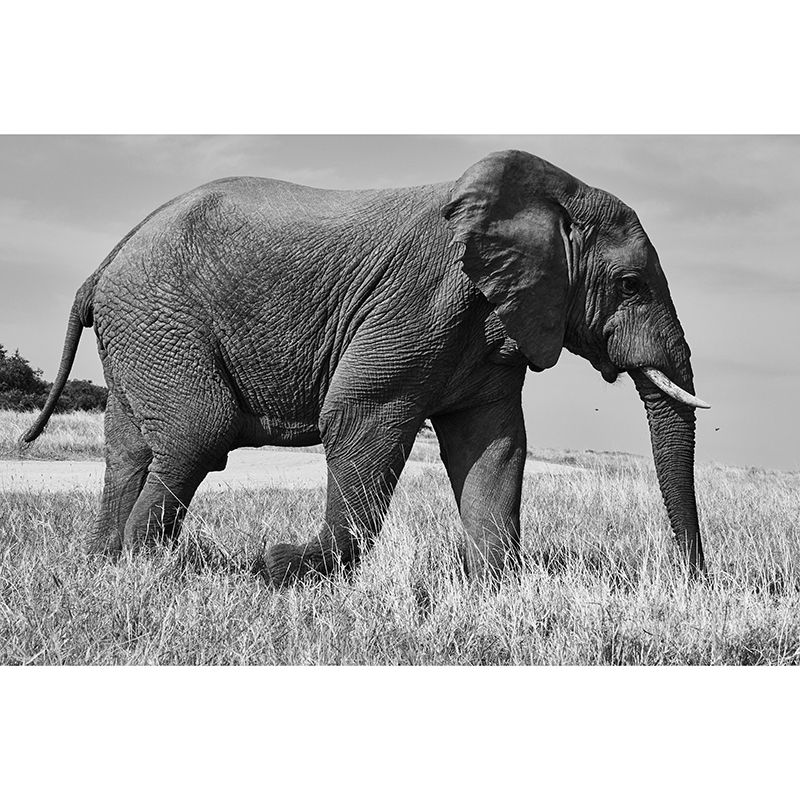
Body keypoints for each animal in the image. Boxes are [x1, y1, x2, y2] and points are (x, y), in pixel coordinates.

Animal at [23, 149, 710, 584]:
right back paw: (145, 569)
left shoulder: (492, 324)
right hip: (163, 318)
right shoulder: (419, 299)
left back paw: (106, 563)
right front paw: (282, 568)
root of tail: (102, 267)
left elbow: (493, 443)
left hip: (140, 330)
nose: (694, 579)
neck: (548, 194)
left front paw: (494, 588)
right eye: (630, 285)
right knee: (198, 432)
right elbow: (361, 416)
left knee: (129, 449)